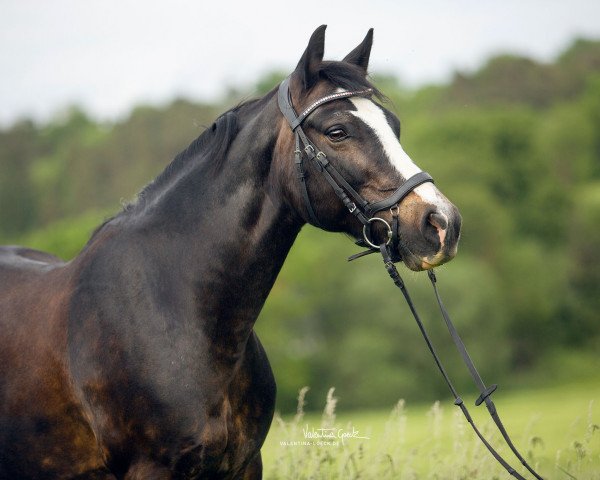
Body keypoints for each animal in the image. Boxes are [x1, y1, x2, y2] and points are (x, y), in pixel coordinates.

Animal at [0, 27, 462, 480]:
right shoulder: (151, 469)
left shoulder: (244, 465)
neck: (176, 313)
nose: (442, 223)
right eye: (337, 131)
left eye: (393, 126)